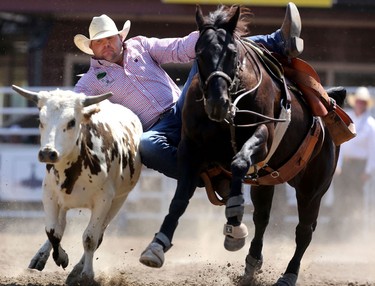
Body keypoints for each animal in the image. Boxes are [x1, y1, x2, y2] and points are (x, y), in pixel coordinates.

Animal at [140, 5, 346, 286]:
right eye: (199, 53)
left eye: (232, 52)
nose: (217, 102)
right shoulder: (190, 150)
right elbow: (180, 198)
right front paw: (157, 245)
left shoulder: (263, 136)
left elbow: (238, 162)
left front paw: (235, 221)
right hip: (266, 180)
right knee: (262, 218)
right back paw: (251, 264)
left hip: (312, 188)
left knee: (304, 231)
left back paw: (288, 274)